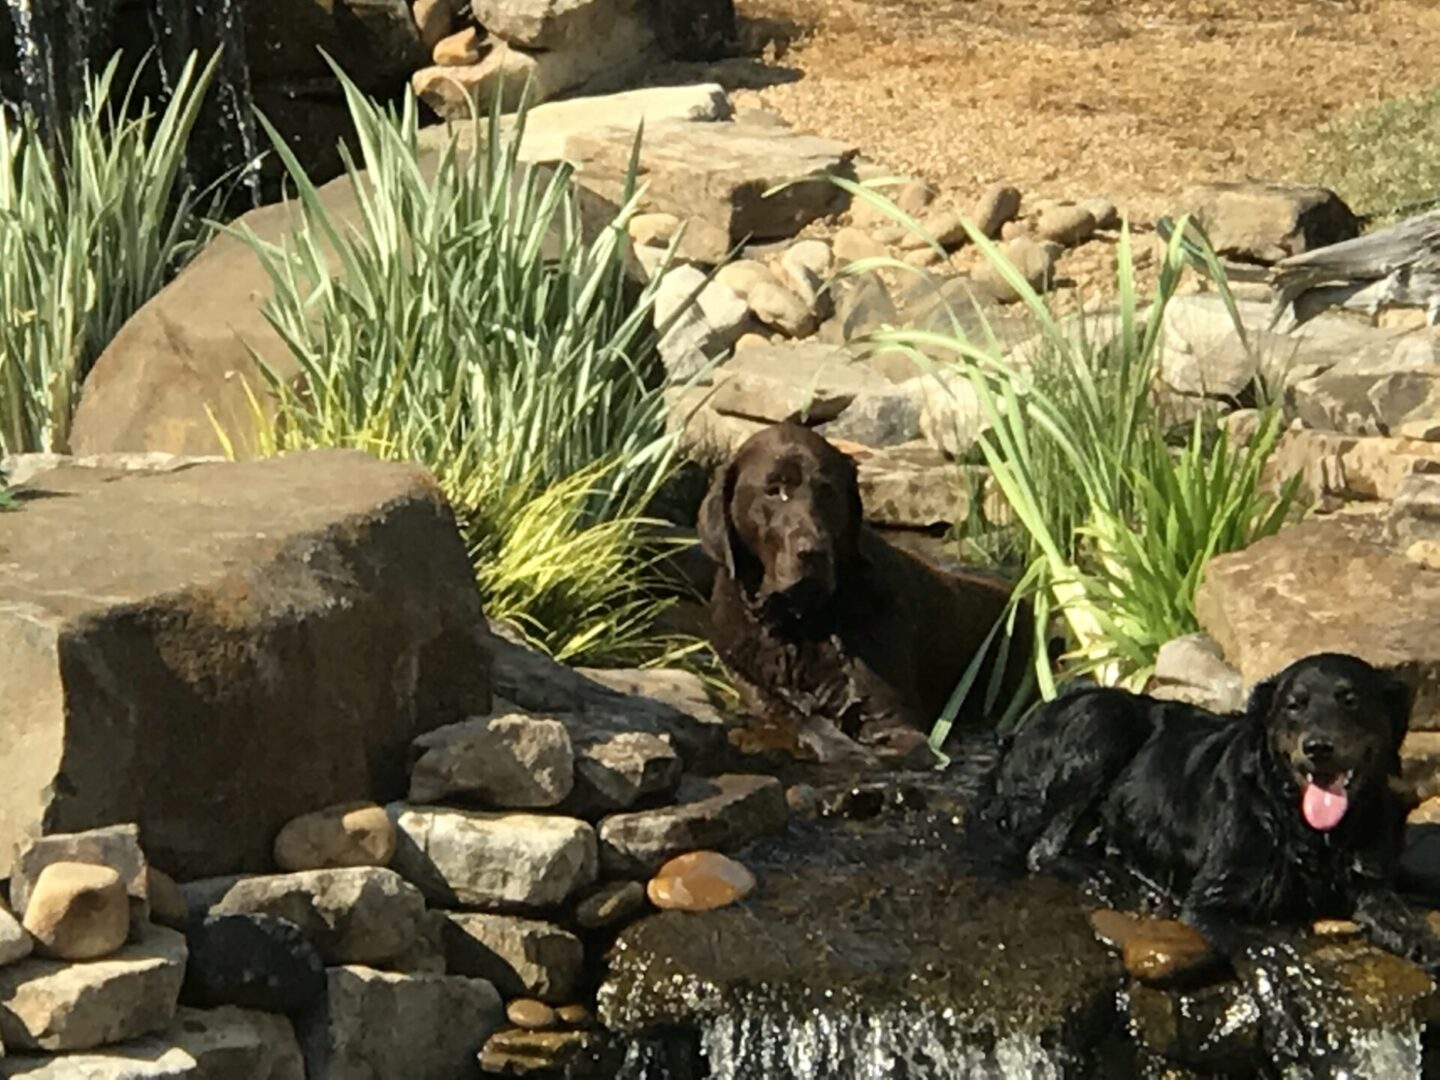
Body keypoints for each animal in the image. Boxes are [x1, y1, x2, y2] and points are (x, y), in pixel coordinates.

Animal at [699, 417, 1031, 766]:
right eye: (775, 491)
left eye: (827, 491)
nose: (814, 551)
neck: (800, 624)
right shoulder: (754, 684)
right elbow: (800, 718)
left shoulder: (892, 722)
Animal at [984, 656, 1434, 967]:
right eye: (1295, 705)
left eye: (1351, 700)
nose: (1318, 747)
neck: (1303, 827)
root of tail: (1022, 727)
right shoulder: (1211, 898)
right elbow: (1256, 945)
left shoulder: (1370, 883)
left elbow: (1401, 918)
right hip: (1104, 721)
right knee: (1043, 848)